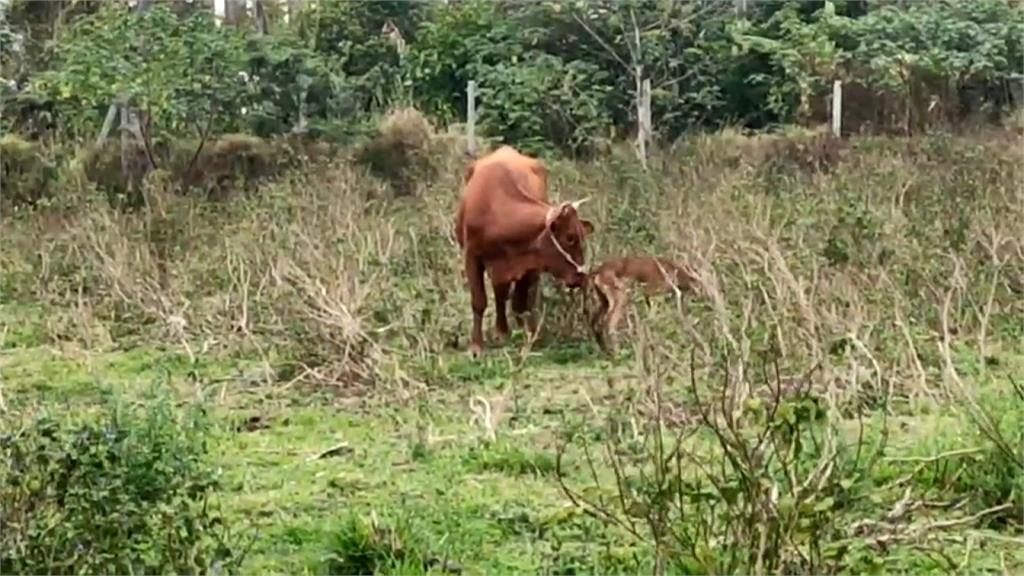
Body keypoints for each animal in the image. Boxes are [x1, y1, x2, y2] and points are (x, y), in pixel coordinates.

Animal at [454, 145, 593, 356]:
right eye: (570, 237)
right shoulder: (471, 258)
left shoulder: (530, 263)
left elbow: (519, 303)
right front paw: (476, 346)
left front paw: (526, 335)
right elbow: (479, 301)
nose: (581, 277)